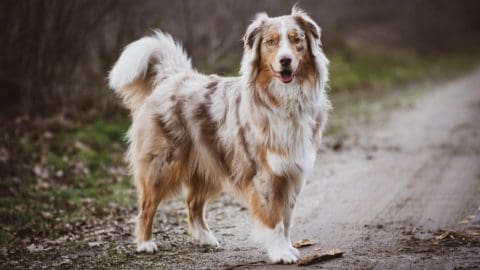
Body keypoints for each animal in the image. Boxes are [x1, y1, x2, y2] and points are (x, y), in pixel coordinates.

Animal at [108, 5, 330, 264]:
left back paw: (205, 238)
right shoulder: (266, 175)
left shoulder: (291, 173)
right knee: (147, 206)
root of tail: (171, 77)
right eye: (271, 42)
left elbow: (285, 219)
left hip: (209, 165)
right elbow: (274, 219)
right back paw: (145, 243)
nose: (285, 60)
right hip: (161, 166)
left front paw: (288, 247)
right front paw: (280, 253)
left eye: (297, 40)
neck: (284, 99)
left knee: (193, 203)